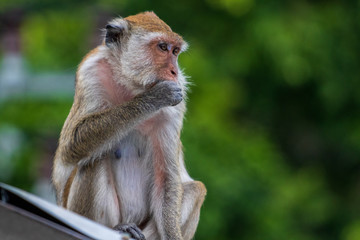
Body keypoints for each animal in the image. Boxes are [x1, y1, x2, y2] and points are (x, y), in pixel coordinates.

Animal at [52, 10, 207, 239]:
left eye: (175, 51)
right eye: (162, 47)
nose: (174, 71)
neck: (131, 85)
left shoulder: (176, 108)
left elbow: (166, 180)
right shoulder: (91, 72)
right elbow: (72, 145)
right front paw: (153, 98)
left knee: (196, 189)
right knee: (91, 161)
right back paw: (116, 228)